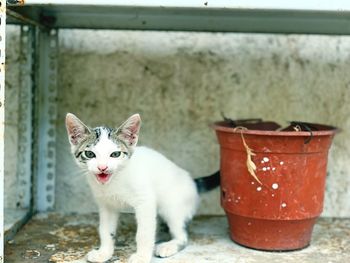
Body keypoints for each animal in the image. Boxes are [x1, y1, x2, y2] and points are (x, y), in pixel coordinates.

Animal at [65, 113, 219, 263]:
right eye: (90, 154)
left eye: (115, 154)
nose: (102, 168)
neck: (114, 181)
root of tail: (193, 182)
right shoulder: (106, 205)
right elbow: (105, 230)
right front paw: (104, 253)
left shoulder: (145, 202)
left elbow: (144, 232)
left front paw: (142, 256)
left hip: (173, 208)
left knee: (181, 235)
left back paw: (169, 245)